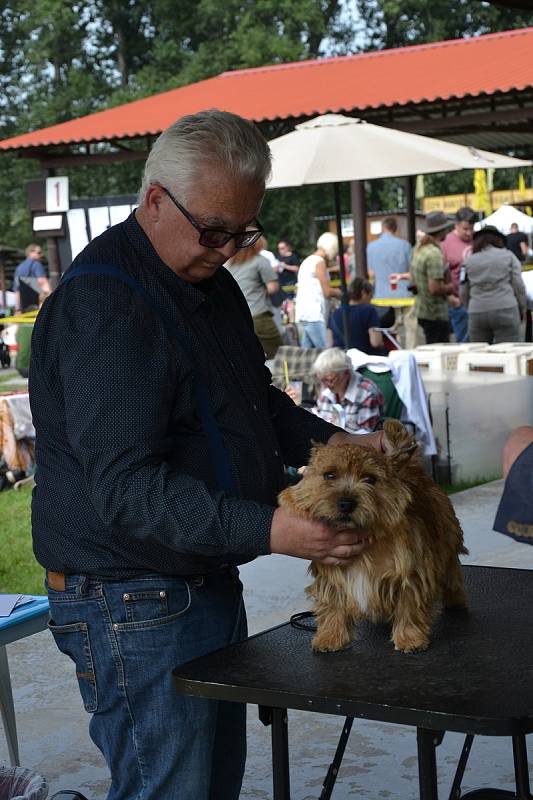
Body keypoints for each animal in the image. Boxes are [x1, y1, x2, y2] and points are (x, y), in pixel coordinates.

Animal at [276, 416, 468, 652]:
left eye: (370, 479)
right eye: (329, 475)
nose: (346, 503)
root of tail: (411, 469)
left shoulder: (410, 572)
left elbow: (409, 606)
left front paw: (410, 639)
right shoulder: (333, 576)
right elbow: (332, 605)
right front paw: (330, 637)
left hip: (447, 541)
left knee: (452, 572)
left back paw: (456, 600)